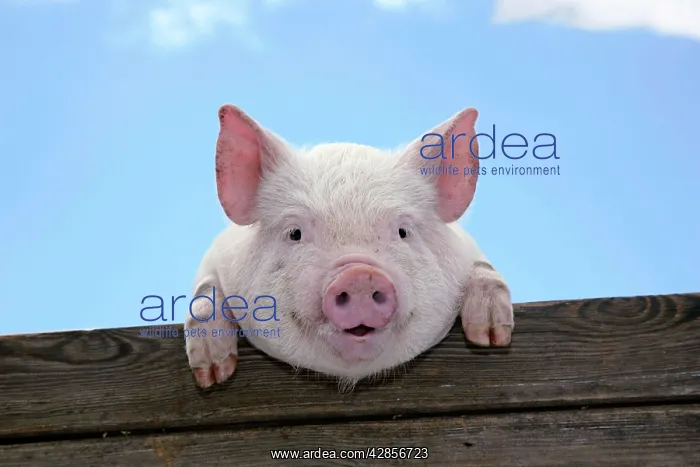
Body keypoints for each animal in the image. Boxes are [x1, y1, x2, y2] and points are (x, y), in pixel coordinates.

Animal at [184, 104, 514, 389]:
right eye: (294, 233)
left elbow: (484, 269)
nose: (360, 276)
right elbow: (204, 291)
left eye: (403, 231)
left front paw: (490, 337)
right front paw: (213, 374)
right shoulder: (215, 256)